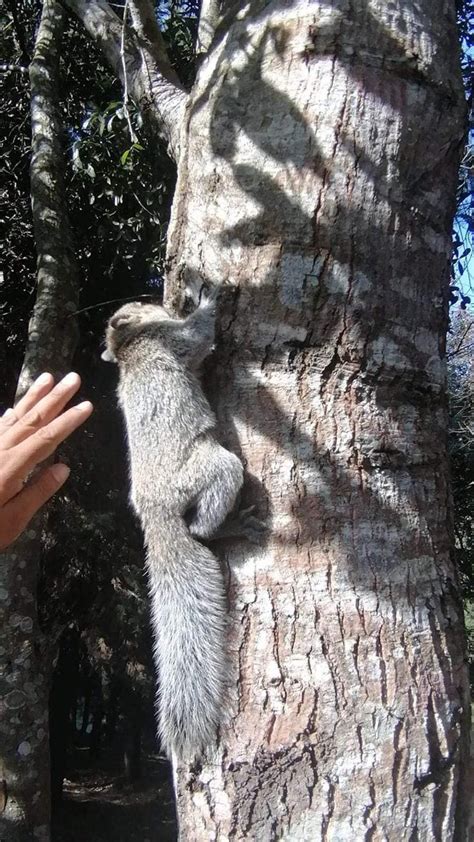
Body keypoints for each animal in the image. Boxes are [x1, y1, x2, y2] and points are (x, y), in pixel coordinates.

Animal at [102, 290, 254, 760]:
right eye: (134, 308)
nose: (154, 298)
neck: (129, 348)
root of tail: (156, 514)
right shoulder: (172, 341)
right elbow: (200, 334)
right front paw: (206, 295)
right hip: (213, 467)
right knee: (203, 526)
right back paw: (229, 528)